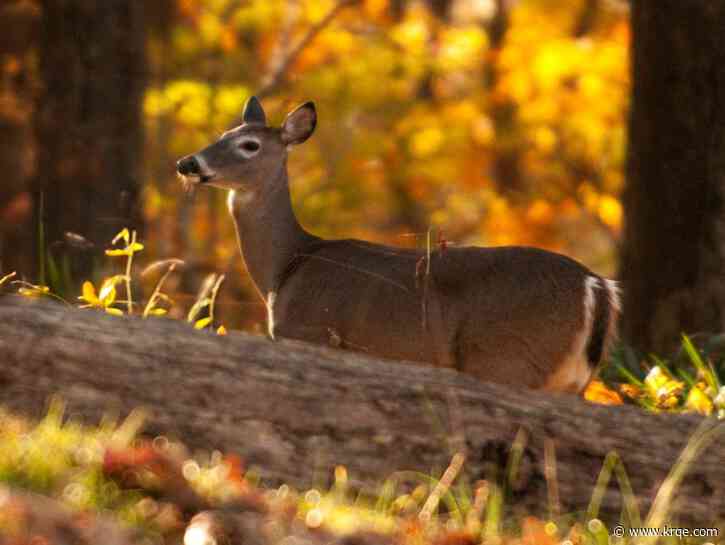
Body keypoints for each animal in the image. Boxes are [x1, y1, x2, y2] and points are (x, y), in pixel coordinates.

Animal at [176, 96, 620, 393]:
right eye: (223, 134)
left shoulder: (310, 332)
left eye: (249, 145)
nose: (187, 163)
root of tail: (596, 285)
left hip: (509, 358)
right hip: (572, 379)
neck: (286, 267)